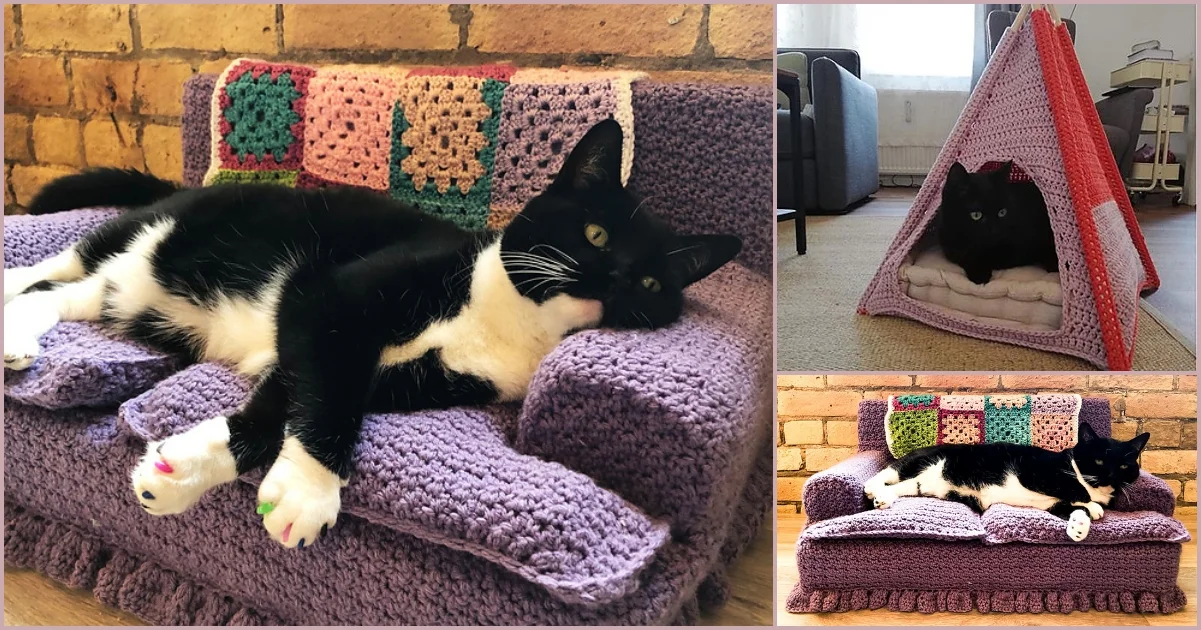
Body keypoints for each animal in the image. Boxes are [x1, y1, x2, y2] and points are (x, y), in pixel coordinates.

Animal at [2, 119, 739, 544]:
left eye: (650, 286)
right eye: (594, 234)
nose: (611, 282)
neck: (498, 317)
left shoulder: (405, 374)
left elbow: (291, 400)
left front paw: (187, 467)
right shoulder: (335, 299)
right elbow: (330, 393)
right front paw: (311, 491)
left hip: (138, 295)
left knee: (68, 297)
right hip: (154, 232)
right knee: (57, 264)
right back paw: (13, 310)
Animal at [864, 424, 1152, 542]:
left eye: (1124, 465)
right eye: (1099, 461)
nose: (1111, 475)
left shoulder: (1053, 505)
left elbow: (1072, 508)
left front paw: (1078, 527)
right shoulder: (1035, 472)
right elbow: (1074, 488)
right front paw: (1093, 507)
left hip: (924, 484)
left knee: (901, 487)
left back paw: (883, 498)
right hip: (926, 460)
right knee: (888, 472)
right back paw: (871, 488)